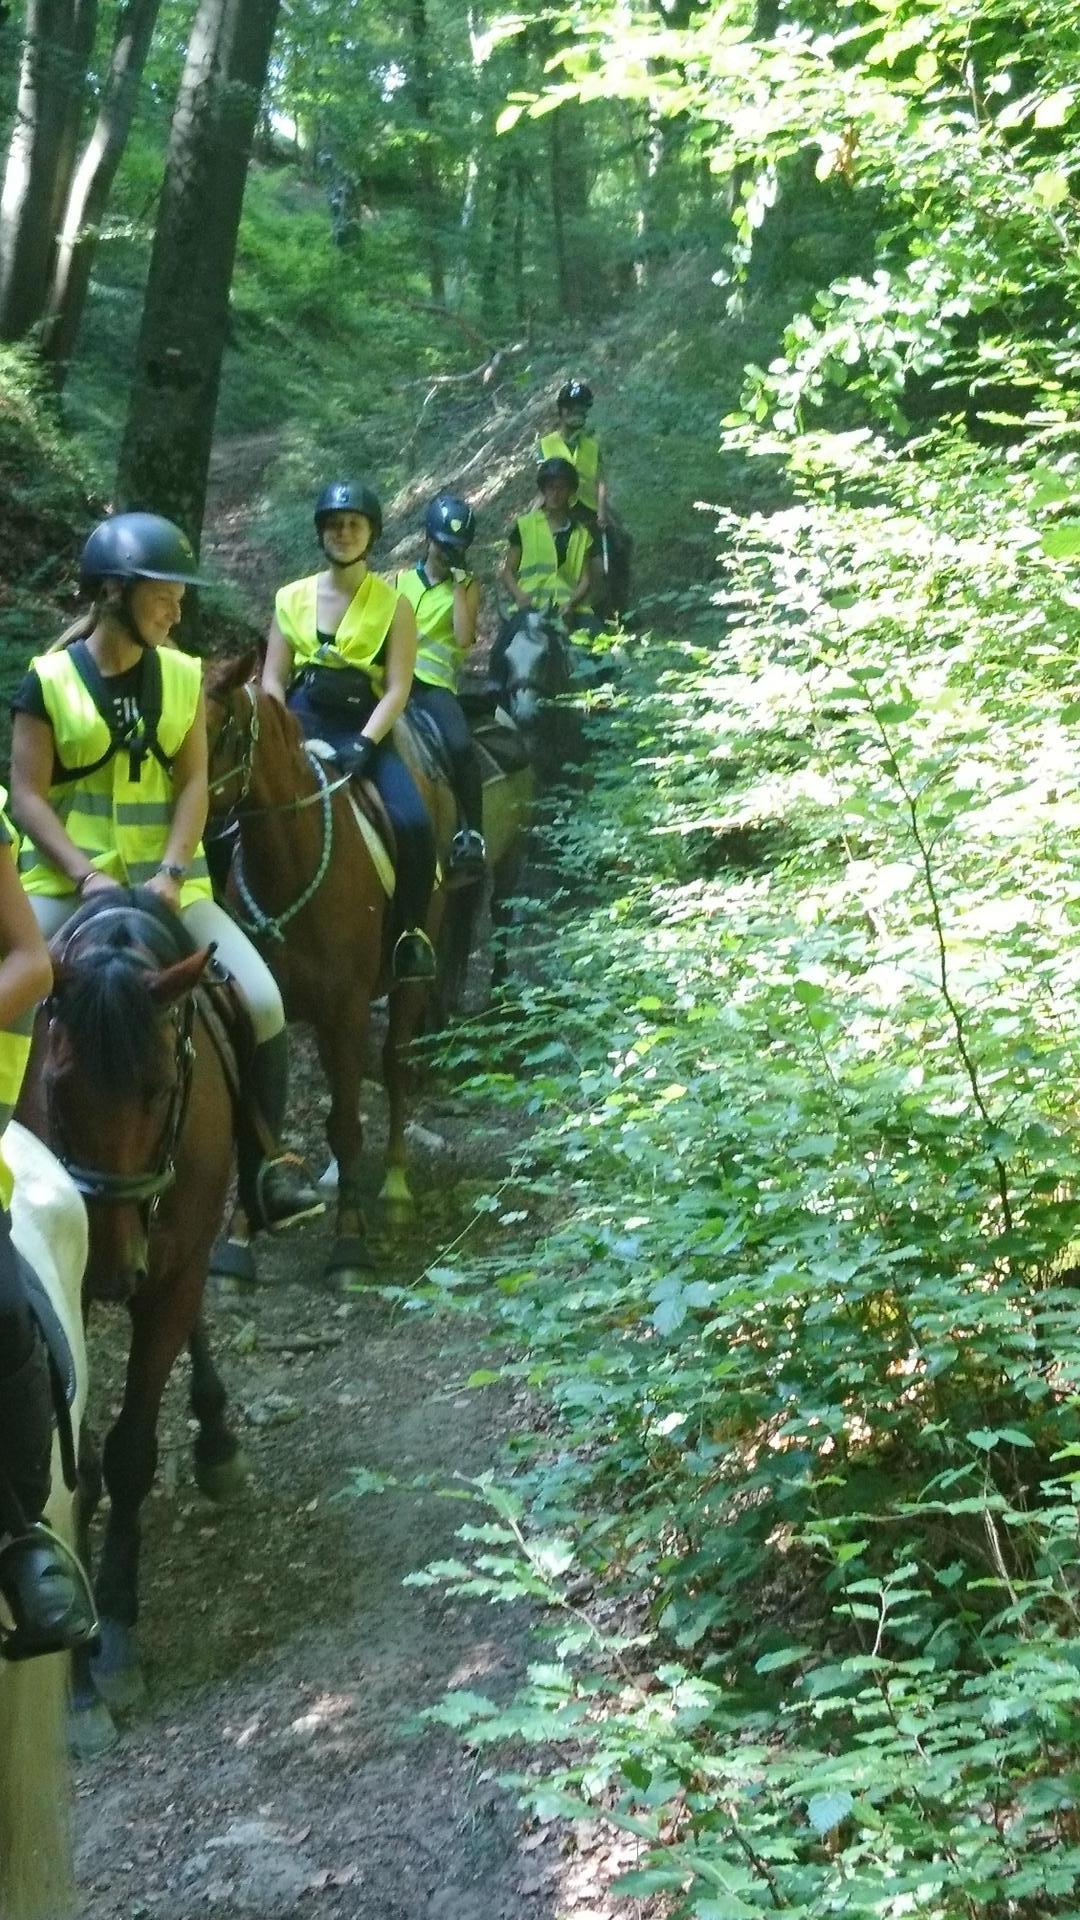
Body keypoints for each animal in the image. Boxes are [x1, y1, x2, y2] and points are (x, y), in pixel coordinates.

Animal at [16, 887, 245, 1758]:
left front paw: (112, 1628)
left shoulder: (172, 1274)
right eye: (57, 1084)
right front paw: (77, 1677)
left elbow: (129, 1454)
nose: (113, 1269)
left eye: (157, 1088)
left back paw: (217, 1438)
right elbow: (71, 1476)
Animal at [204, 652, 453, 1282]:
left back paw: (393, 1187)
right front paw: (236, 1240)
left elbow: (344, 1123)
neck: (288, 861)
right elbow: (256, 1122)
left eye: (221, 729)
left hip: (409, 979)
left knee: (392, 1068)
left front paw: (349, 1244)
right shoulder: (263, 1006)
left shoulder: (346, 1008)